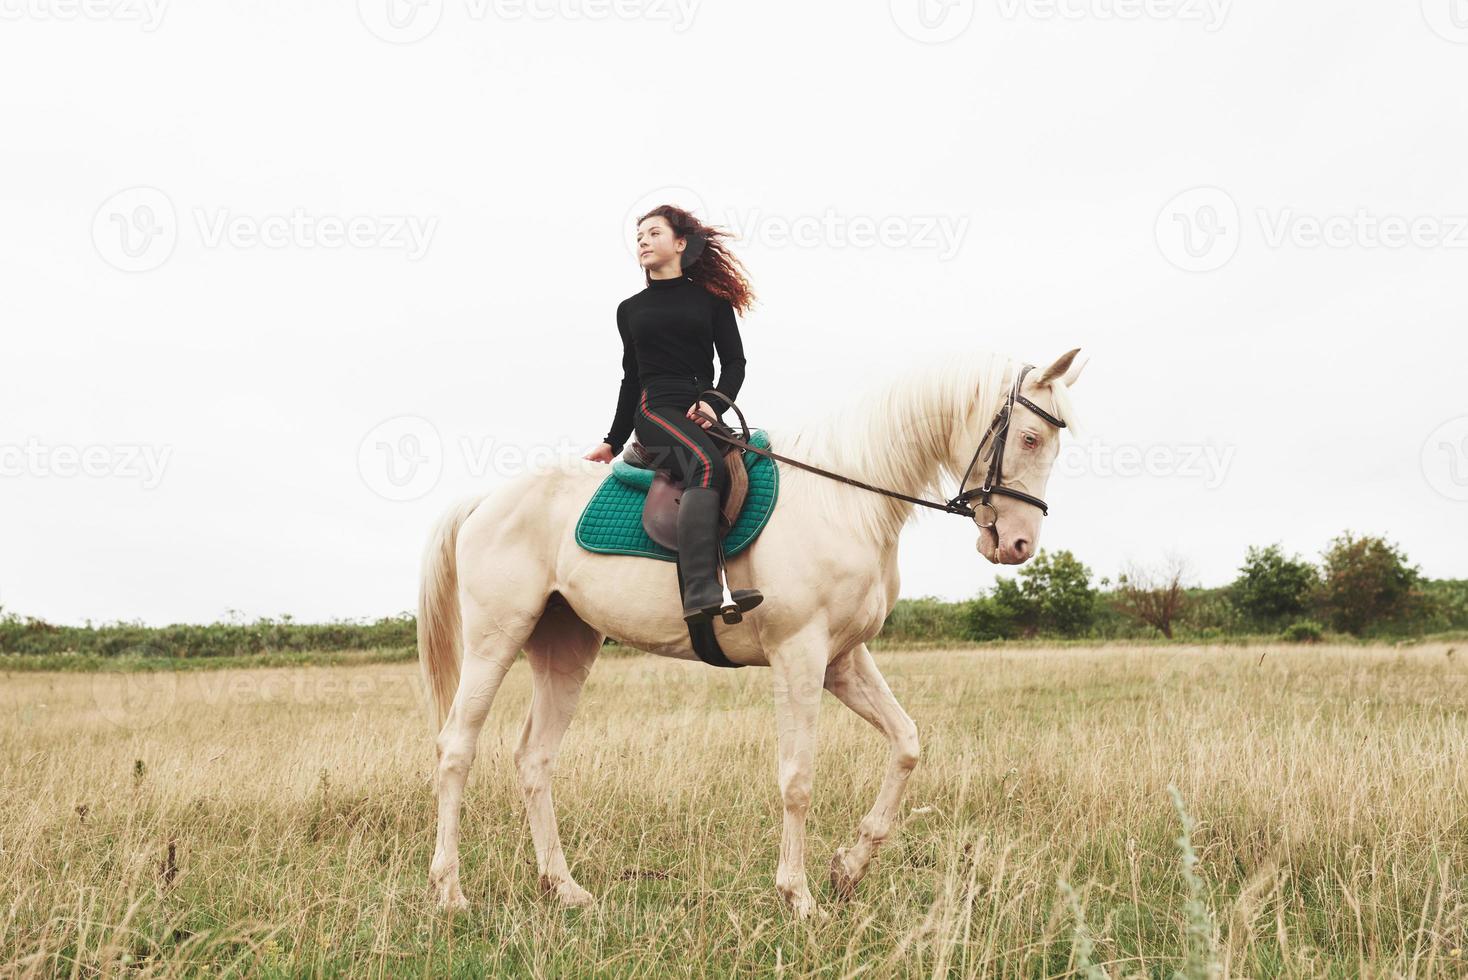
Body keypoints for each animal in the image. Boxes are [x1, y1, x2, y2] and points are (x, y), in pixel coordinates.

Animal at [419, 346, 1086, 921]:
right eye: (1030, 438)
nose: (1019, 545)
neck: (844, 501)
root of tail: (485, 501)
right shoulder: (799, 655)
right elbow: (798, 778)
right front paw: (800, 896)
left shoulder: (843, 659)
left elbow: (907, 743)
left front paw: (849, 866)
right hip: (495, 641)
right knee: (455, 749)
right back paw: (449, 892)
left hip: (566, 649)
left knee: (535, 759)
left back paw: (564, 888)